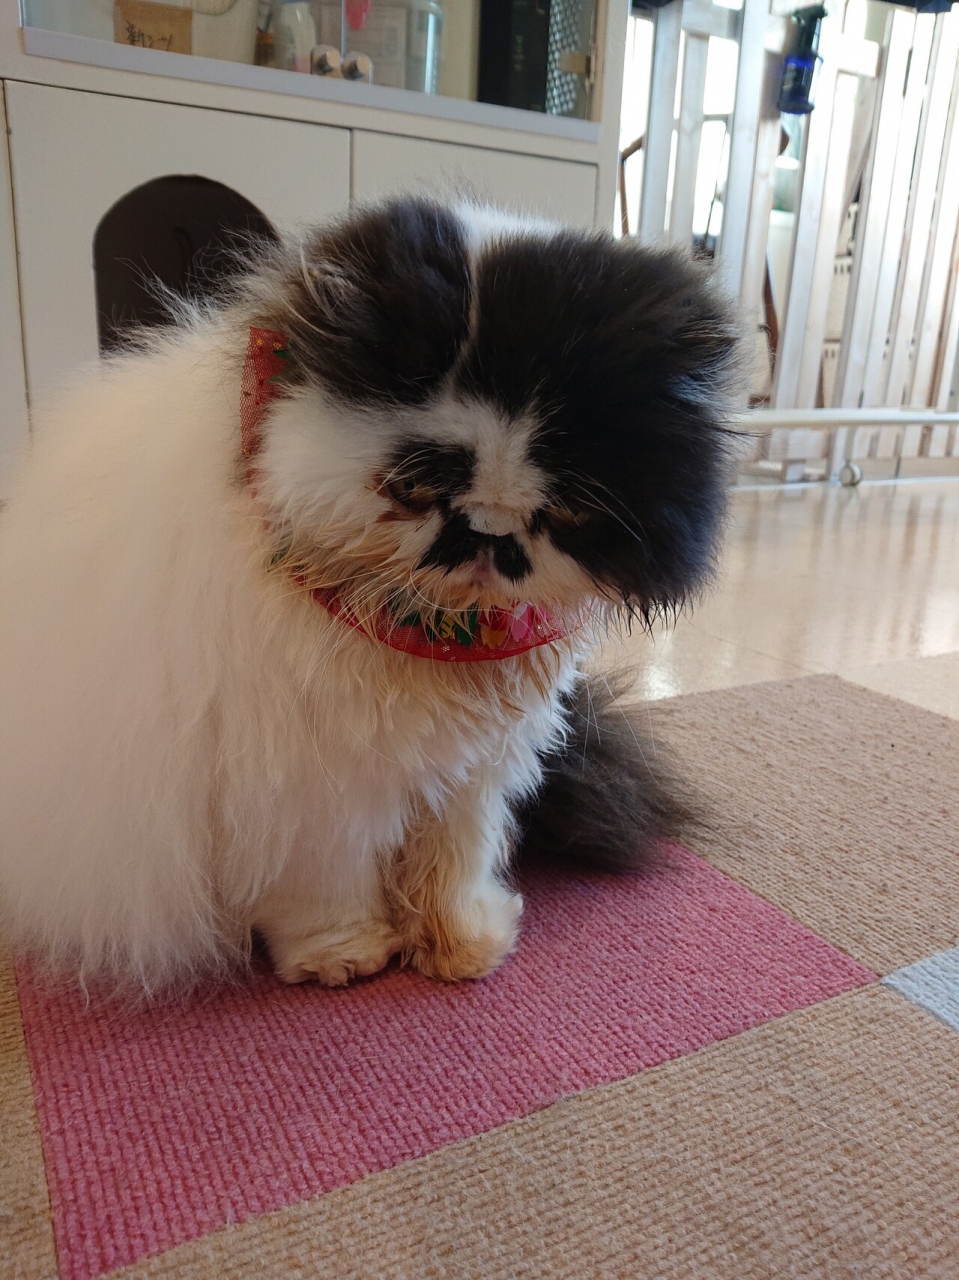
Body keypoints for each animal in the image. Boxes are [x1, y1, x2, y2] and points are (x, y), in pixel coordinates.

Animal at [0, 197, 737, 996]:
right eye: (412, 488)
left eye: (568, 511)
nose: (487, 534)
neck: (432, 637)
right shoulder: (306, 788)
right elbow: (326, 889)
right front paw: (344, 955)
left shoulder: (474, 769)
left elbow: (454, 863)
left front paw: (459, 944)